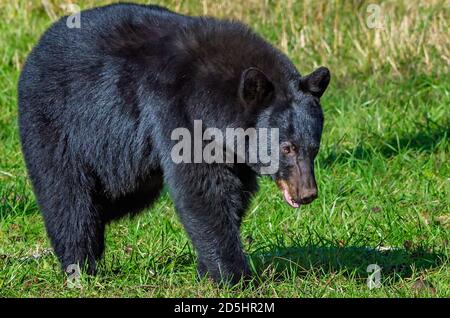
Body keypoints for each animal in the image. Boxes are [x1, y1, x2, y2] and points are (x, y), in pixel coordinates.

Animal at [18, 3, 330, 286]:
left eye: (313, 147)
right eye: (287, 147)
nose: (307, 194)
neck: (215, 101)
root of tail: (35, 49)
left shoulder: (232, 149)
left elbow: (235, 193)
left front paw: (208, 269)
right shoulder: (179, 113)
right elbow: (203, 190)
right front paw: (234, 276)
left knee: (117, 194)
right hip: (58, 124)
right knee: (69, 198)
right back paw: (79, 266)